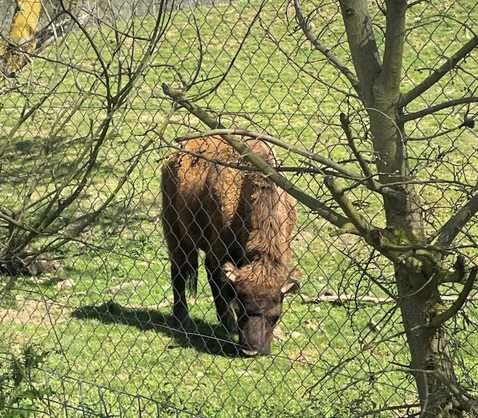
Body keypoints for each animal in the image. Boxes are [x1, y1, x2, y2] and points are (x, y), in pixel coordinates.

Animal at [162, 137, 300, 356]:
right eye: (240, 309)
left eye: (275, 315)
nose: (251, 350)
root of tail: (173, 158)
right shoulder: (221, 249)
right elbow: (221, 283)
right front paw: (230, 322)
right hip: (175, 234)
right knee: (180, 270)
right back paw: (182, 317)